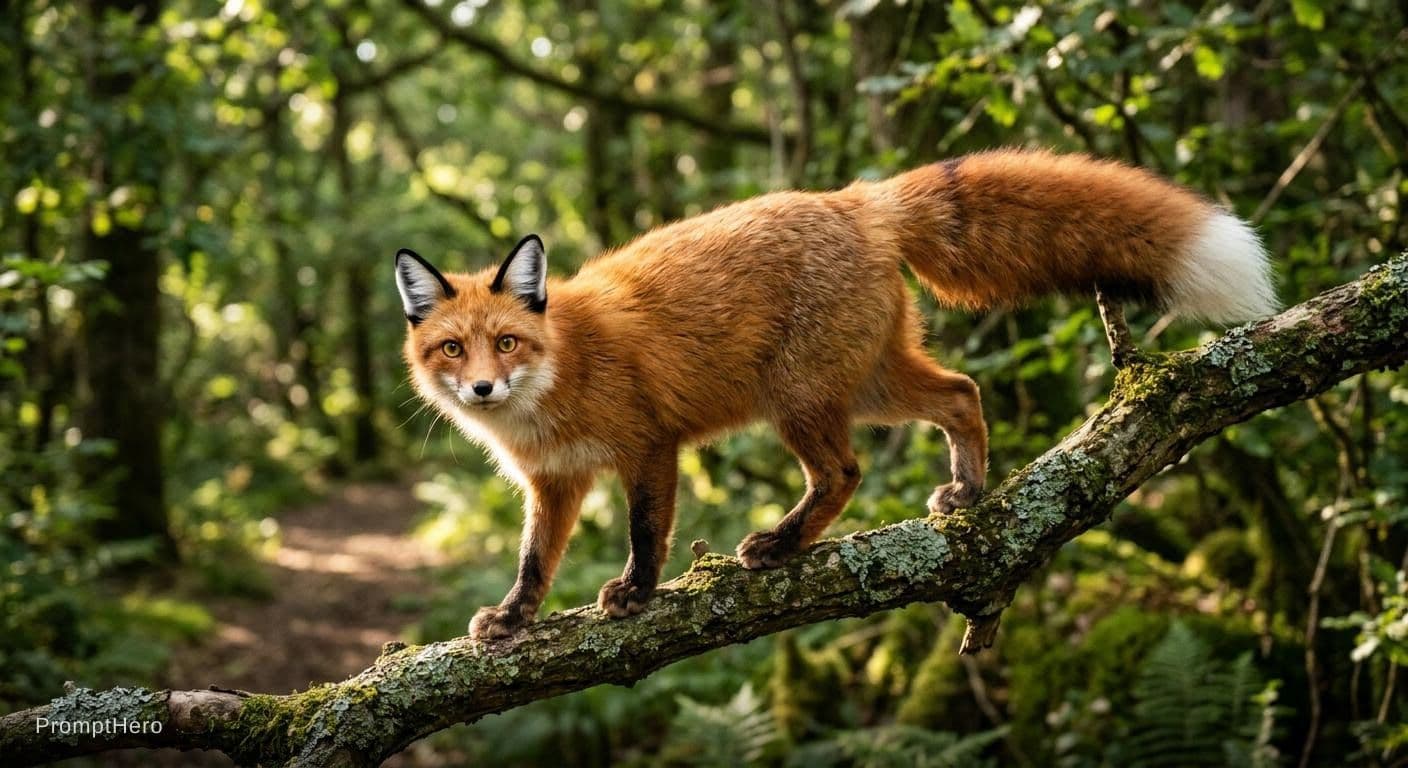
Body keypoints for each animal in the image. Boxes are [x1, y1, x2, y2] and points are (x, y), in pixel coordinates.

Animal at [394, 149, 1277, 641]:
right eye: (452, 348)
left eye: (509, 341)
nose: (482, 386)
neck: (558, 378)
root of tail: (856, 197)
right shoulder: (555, 484)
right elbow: (533, 563)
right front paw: (513, 620)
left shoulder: (650, 445)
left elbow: (646, 534)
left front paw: (636, 594)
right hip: (872, 385)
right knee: (963, 392)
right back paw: (970, 493)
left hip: (799, 400)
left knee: (844, 474)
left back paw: (782, 545)